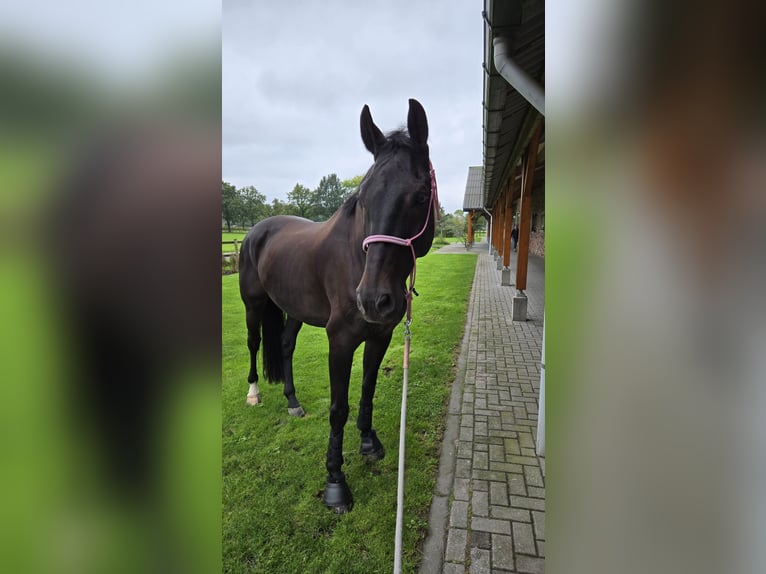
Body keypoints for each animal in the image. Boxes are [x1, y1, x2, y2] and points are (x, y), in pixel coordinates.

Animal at [238, 98, 438, 512]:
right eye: (362, 199)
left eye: (421, 196)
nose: (372, 300)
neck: (356, 260)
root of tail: (256, 231)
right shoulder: (340, 341)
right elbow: (338, 408)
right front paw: (335, 482)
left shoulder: (380, 335)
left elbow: (367, 388)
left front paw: (369, 443)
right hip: (252, 305)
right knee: (253, 344)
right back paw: (253, 394)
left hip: (295, 310)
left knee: (285, 345)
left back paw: (293, 402)